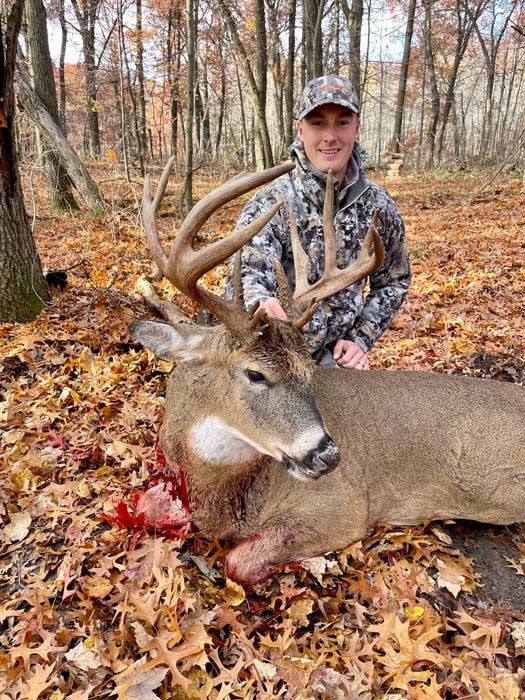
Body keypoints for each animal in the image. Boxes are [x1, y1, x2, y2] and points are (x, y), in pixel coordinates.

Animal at [130, 157, 525, 585]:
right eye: (255, 374)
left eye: (309, 372)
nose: (328, 456)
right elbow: (146, 509)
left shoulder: (346, 507)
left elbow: (238, 561)